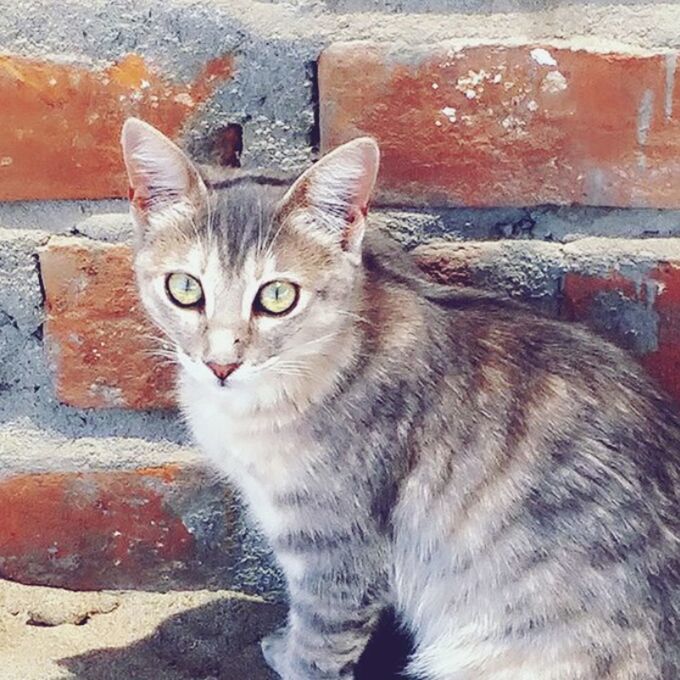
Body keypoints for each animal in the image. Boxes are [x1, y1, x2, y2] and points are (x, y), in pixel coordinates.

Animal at [122, 118, 680, 680]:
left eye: (278, 296)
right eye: (184, 288)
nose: (220, 364)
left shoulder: (337, 544)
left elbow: (321, 636)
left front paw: (290, 656)